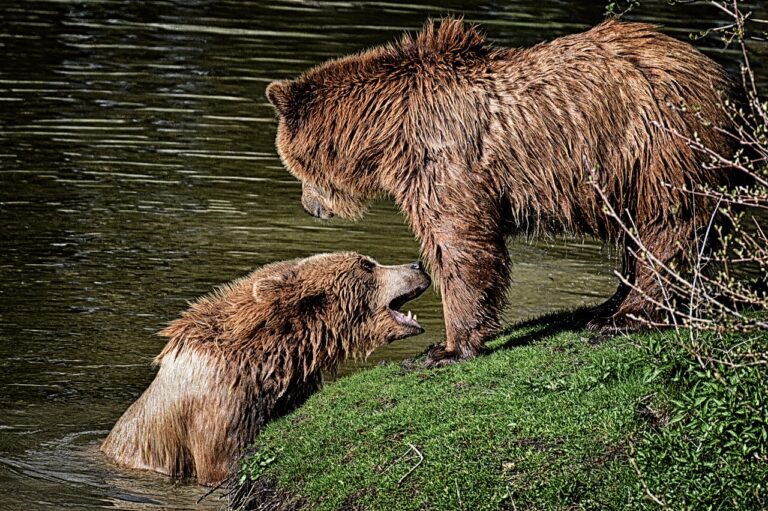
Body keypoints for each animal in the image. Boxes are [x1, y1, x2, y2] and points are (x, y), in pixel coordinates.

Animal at [266, 18, 736, 366]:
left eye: (293, 163)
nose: (310, 207)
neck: (386, 129)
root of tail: (718, 75)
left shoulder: (443, 158)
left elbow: (459, 244)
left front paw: (446, 348)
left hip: (656, 144)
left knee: (667, 225)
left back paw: (626, 316)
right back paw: (607, 304)